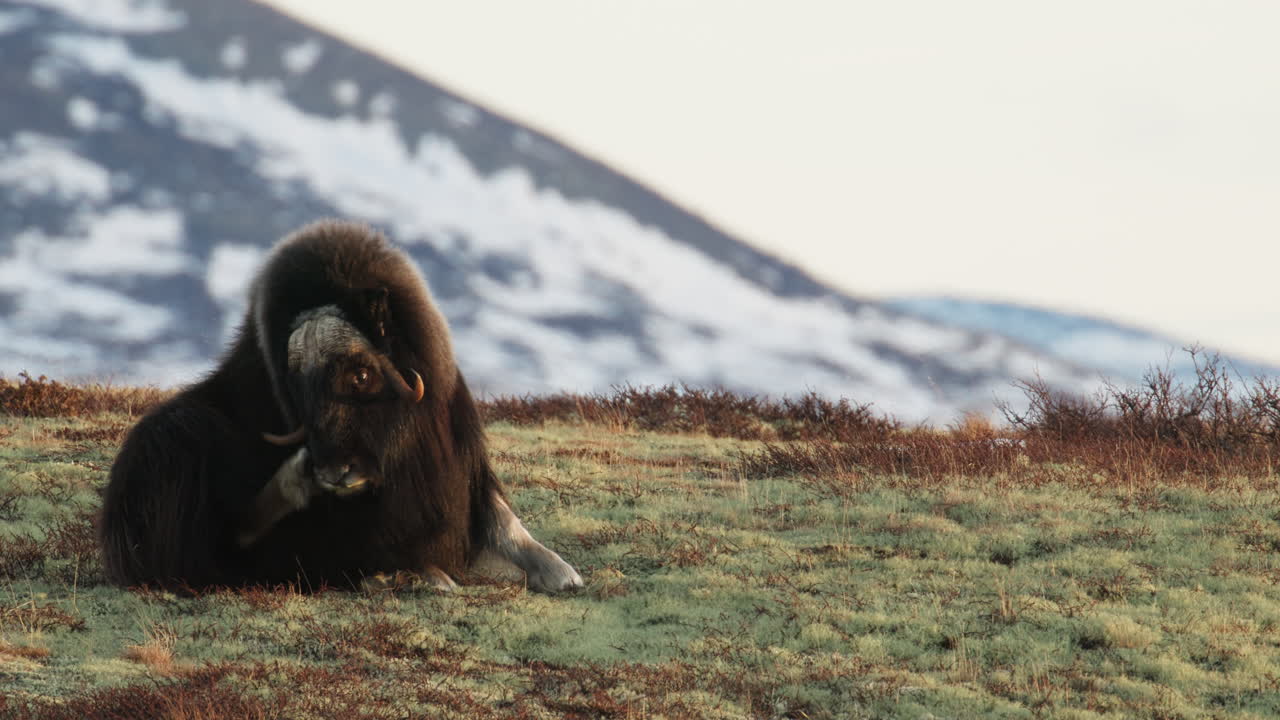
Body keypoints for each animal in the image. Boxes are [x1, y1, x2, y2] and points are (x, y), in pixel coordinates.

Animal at [99, 220, 582, 594]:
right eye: (295, 386)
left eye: (361, 375)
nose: (333, 472)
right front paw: (414, 576)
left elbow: (507, 527)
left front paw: (564, 575)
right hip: (176, 441)